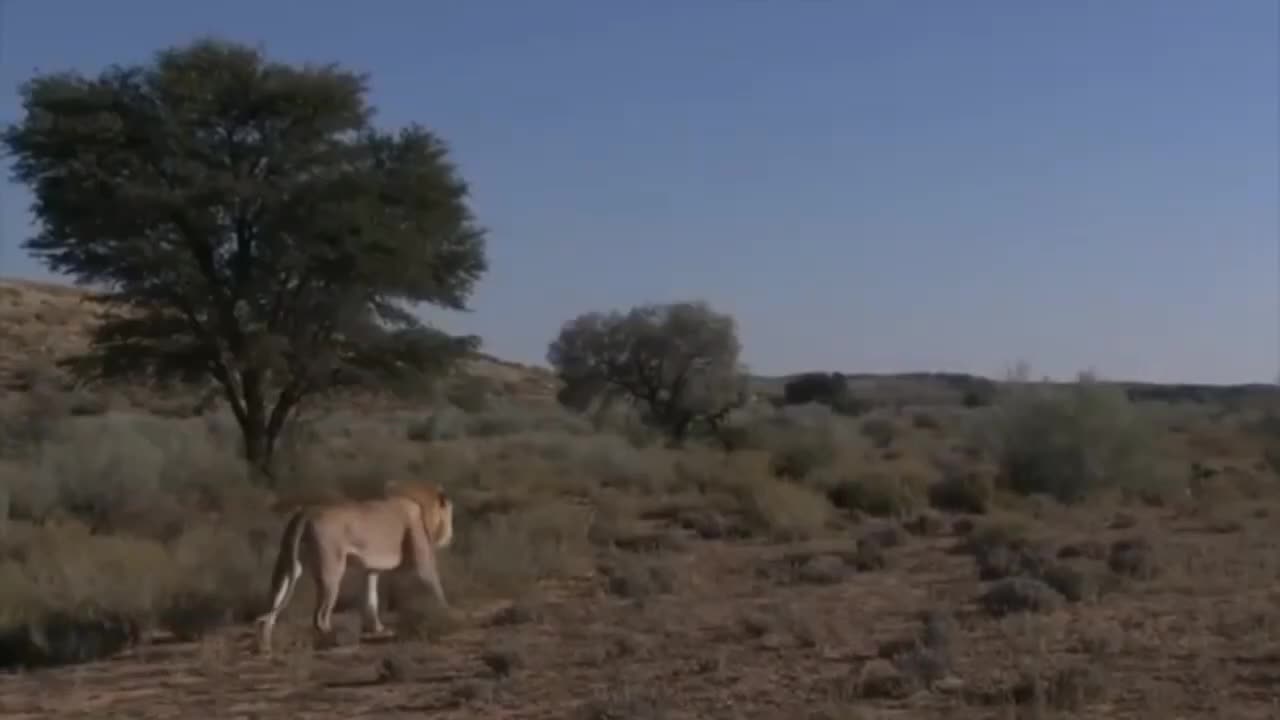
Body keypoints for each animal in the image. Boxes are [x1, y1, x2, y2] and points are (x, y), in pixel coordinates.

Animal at [252, 481, 453, 650]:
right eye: (451, 516)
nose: (451, 536)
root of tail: (307, 512)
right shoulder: (423, 560)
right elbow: (436, 586)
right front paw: (446, 613)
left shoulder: (372, 569)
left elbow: (372, 599)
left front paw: (379, 628)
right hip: (332, 570)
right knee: (319, 618)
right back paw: (340, 639)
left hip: (288, 563)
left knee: (275, 601)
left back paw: (265, 645)